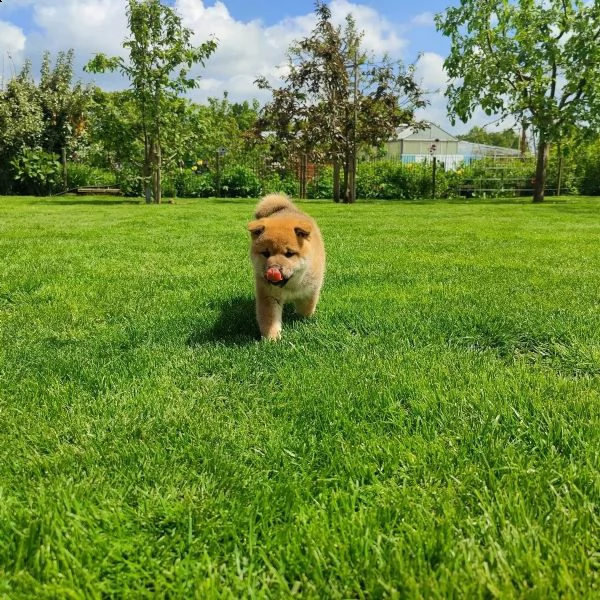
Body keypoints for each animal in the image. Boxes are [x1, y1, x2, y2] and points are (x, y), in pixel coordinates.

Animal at [247, 195, 326, 340]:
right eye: (266, 253)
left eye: (289, 253)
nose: (274, 269)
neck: (290, 286)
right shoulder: (268, 295)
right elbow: (270, 319)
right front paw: (272, 338)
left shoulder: (311, 289)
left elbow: (307, 308)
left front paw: (303, 319)